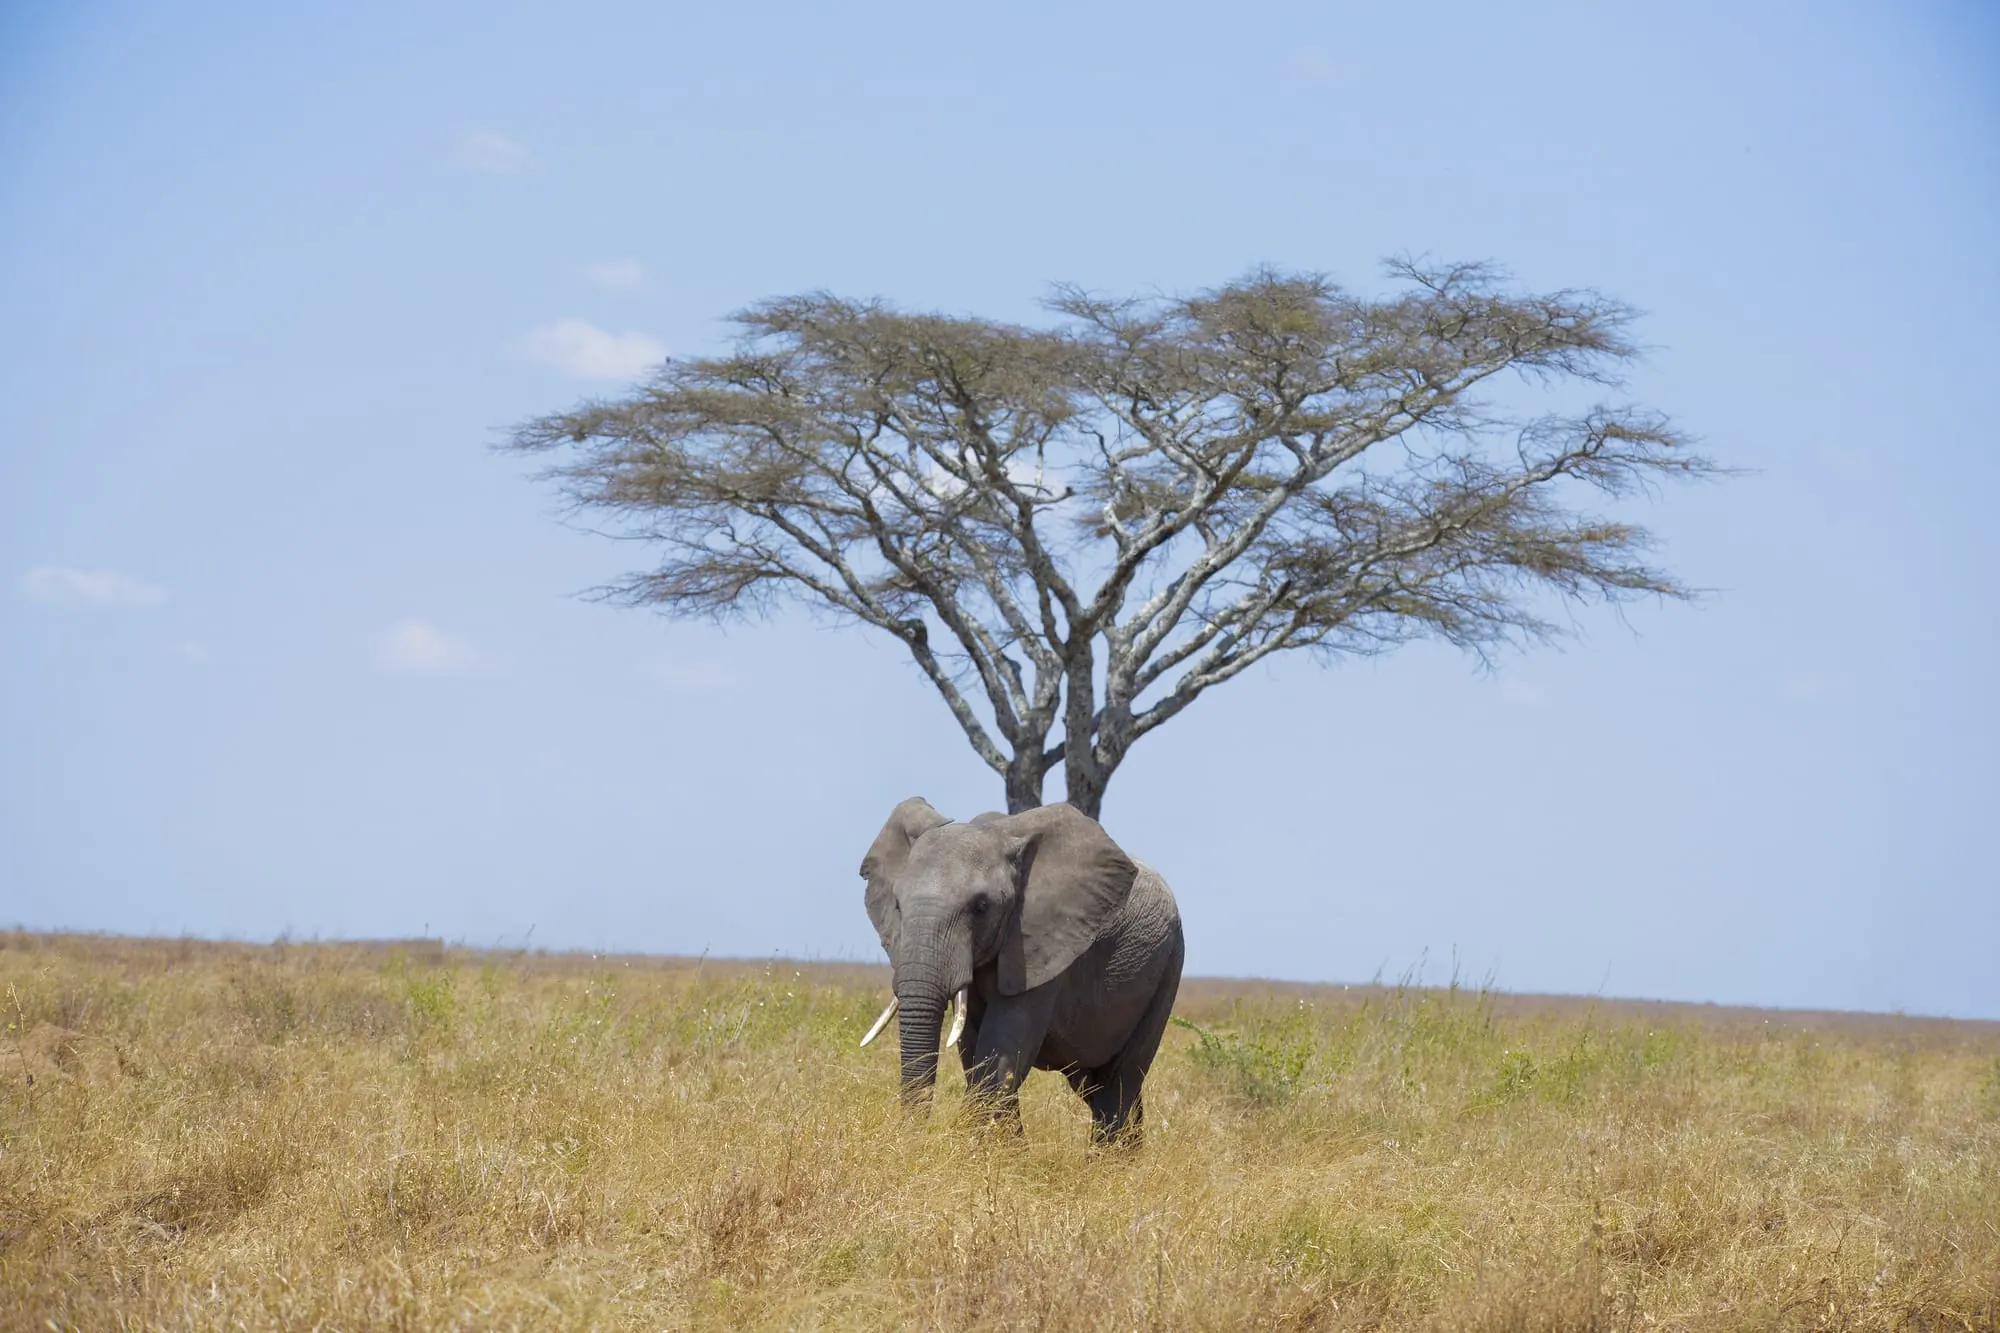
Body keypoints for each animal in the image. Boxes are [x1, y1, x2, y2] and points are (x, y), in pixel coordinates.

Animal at [856, 796, 1184, 1144]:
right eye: (898, 905)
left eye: (981, 907)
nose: (912, 1139)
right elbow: (974, 1050)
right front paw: (1007, 1149)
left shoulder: (1041, 946)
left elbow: (1001, 1052)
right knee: (1096, 1084)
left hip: (1167, 967)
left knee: (1120, 1078)